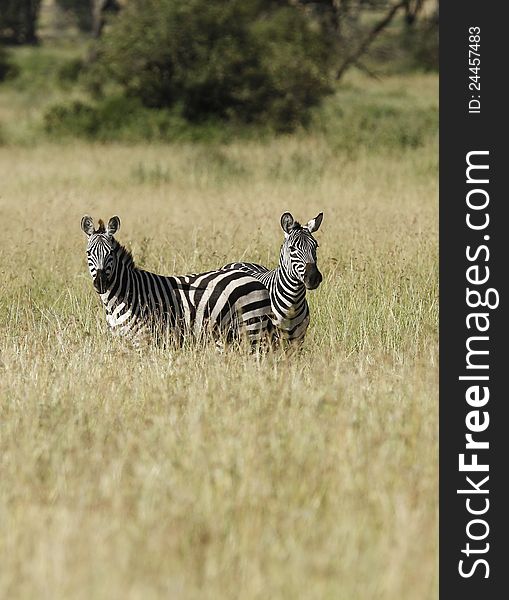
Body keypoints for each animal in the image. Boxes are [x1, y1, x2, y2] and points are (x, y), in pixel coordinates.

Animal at [81, 216, 276, 346]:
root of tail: (255, 279)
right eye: (88, 253)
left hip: (252, 328)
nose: (101, 284)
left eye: (111, 254)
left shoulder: (144, 339)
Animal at [221, 211, 322, 342]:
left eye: (316, 246)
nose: (313, 277)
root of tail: (237, 262)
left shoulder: (298, 339)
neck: (293, 303)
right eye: (292, 248)